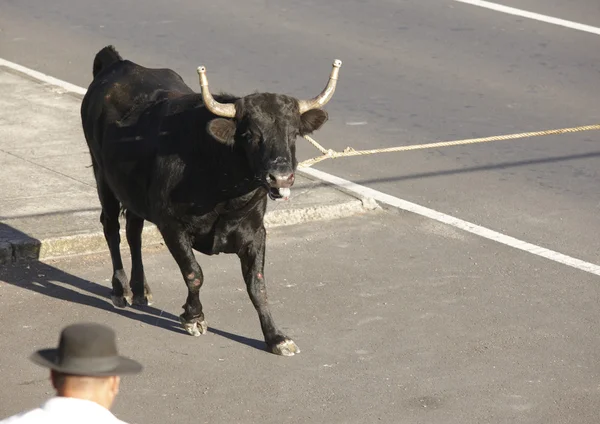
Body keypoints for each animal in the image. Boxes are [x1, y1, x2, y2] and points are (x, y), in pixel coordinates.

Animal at [80, 45, 342, 354]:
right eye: (250, 134)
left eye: (293, 133)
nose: (280, 177)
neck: (224, 193)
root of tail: (118, 64)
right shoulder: (172, 225)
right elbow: (195, 273)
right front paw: (194, 318)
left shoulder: (256, 232)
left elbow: (257, 285)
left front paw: (276, 337)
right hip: (103, 178)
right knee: (111, 227)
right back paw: (121, 289)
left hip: (132, 191)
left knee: (134, 230)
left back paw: (141, 290)